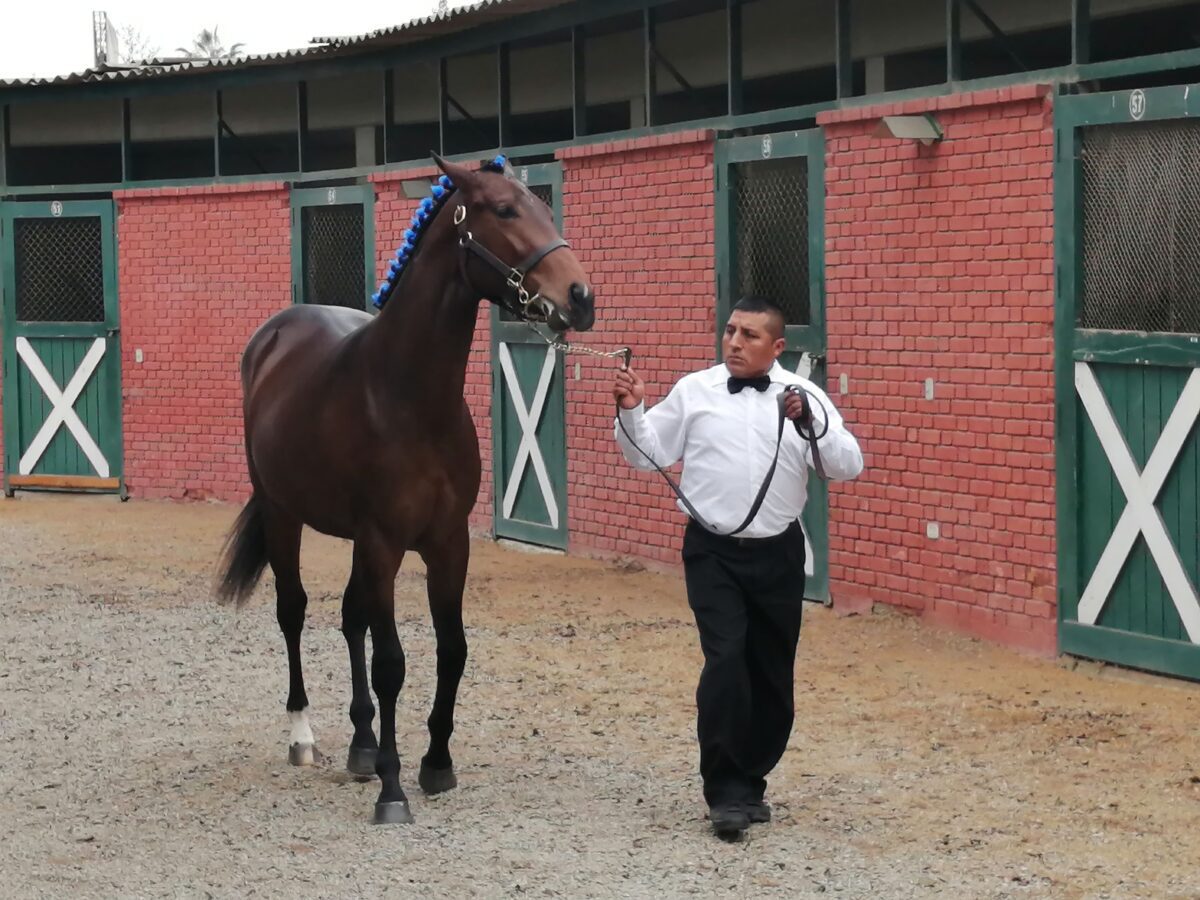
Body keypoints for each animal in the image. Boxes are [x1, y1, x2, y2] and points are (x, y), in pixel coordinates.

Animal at [215, 152, 596, 824]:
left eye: (545, 208)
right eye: (505, 210)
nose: (580, 298)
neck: (409, 397)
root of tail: (273, 336)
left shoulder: (446, 544)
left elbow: (452, 649)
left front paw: (435, 763)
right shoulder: (385, 542)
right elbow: (392, 662)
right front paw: (393, 791)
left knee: (350, 618)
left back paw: (363, 746)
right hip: (286, 515)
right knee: (295, 612)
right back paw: (305, 737)